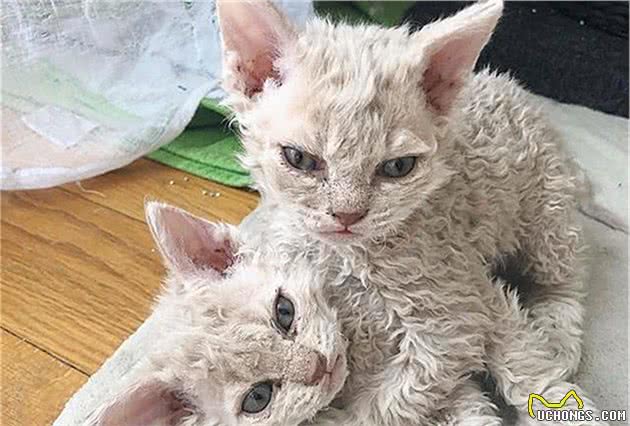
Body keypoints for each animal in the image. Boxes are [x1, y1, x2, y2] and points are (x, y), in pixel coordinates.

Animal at [218, 0, 608, 424]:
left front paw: (348, 414)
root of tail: (516, 91)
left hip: (546, 210)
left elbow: (397, 397)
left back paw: (557, 333)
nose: (348, 215)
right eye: (300, 159)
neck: (346, 257)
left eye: (397, 167)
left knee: (566, 275)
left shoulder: (452, 319)